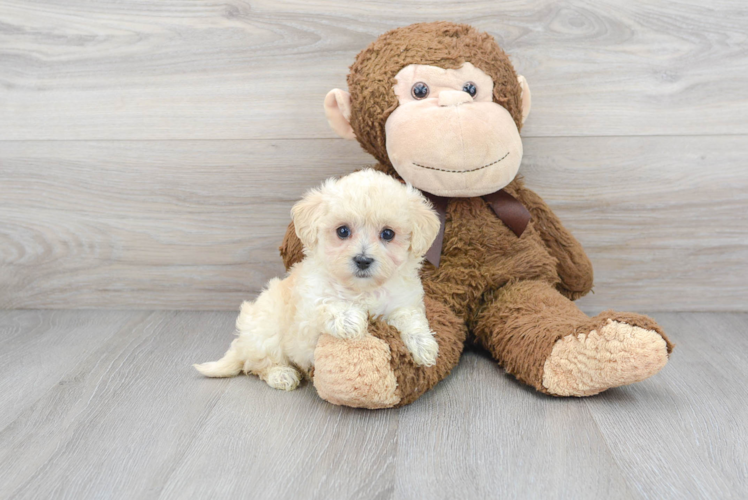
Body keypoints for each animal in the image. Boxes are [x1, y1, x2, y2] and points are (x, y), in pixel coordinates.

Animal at [193, 170, 442, 392]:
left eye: (388, 234)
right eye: (343, 231)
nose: (362, 260)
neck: (362, 289)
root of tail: (242, 343)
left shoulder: (403, 301)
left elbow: (411, 318)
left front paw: (424, 346)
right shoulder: (307, 311)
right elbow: (325, 305)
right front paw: (350, 319)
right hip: (266, 331)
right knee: (259, 364)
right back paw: (281, 374)